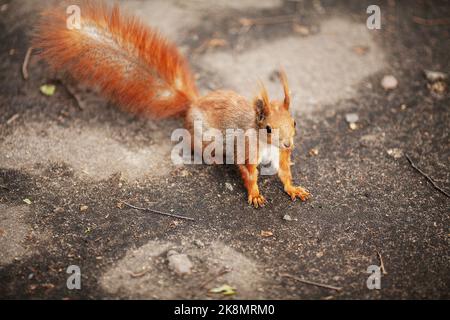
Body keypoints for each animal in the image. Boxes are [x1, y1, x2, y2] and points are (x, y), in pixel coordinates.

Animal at [33, 1, 312, 208]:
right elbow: (248, 173)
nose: (289, 143)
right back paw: (210, 158)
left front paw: (294, 189)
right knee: (194, 143)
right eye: (268, 128)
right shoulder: (245, 149)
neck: (267, 145)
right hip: (205, 135)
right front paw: (254, 194)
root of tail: (193, 103)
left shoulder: (280, 156)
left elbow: (284, 173)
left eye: (295, 122)